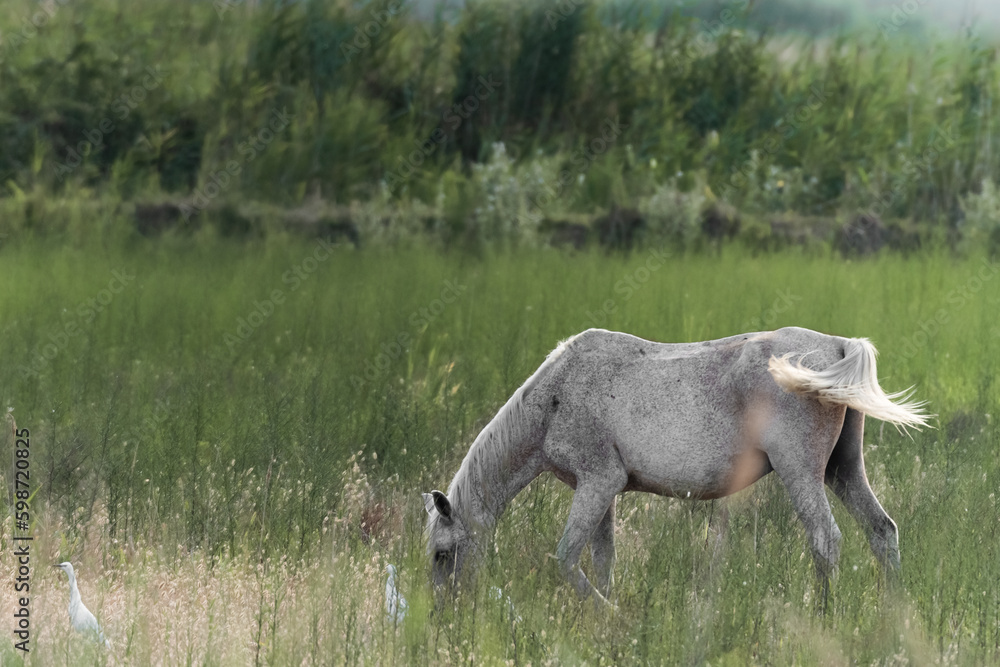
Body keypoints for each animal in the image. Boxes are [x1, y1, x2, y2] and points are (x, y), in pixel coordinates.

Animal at [423, 327, 929, 605]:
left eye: (442, 554)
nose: (442, 613)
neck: (554, 397)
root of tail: (838, 345)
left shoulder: (596, 484)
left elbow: (567, 558)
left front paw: (610, 615)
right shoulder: (604, 491)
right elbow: (603, 562)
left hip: (801, 473)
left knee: (826, 540)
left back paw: (824, 616)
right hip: (842, 471)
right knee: (881, 531)